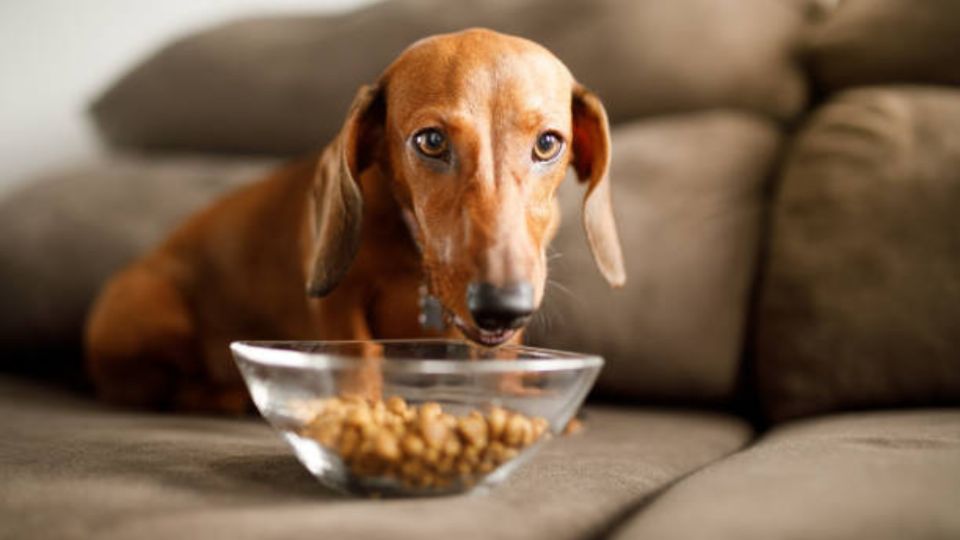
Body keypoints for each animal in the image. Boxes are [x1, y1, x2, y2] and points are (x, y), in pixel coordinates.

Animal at [82, 27, 628, 412]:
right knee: (155, 386)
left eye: (548, 143)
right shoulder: (339, 301)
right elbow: (359, 357)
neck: (414, 258)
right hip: (149, 306)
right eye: (431, 141)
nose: (502, 307)